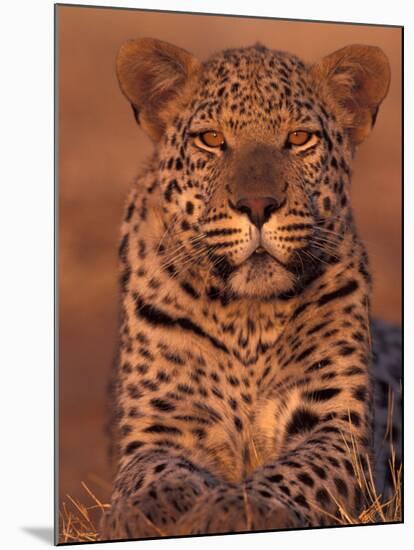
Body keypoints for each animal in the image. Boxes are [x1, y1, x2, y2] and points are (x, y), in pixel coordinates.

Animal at [100, 38, 402, 544]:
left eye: (299, 139)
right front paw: (147, 509)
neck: (247, 317)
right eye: (211, 139)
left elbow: (296, 471)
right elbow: (154, 469)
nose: (258, 205)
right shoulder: (162, 424)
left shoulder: (333, 427)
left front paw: (239, 507)